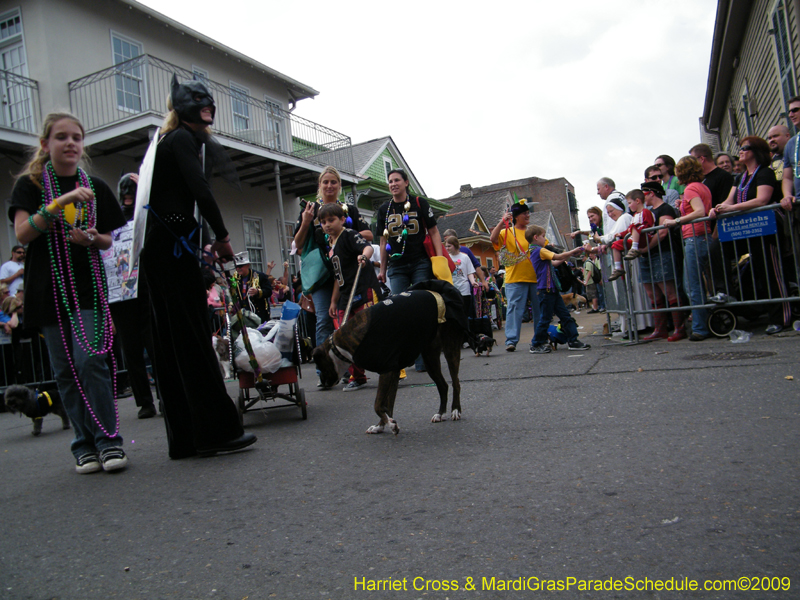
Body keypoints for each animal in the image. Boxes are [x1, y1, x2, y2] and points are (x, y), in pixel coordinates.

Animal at [310, 282, 466, 436]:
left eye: (319, 365)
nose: (323, 382)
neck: (343, 343)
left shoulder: (387, 371)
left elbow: (378, 404)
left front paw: (389, 424)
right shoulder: (393, 371)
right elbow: (388, 403)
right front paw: (382, 425)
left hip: (450, 350)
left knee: (456, 382)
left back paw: (455, 410)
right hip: (430, 359)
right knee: (443, 385)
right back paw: (440, 414)